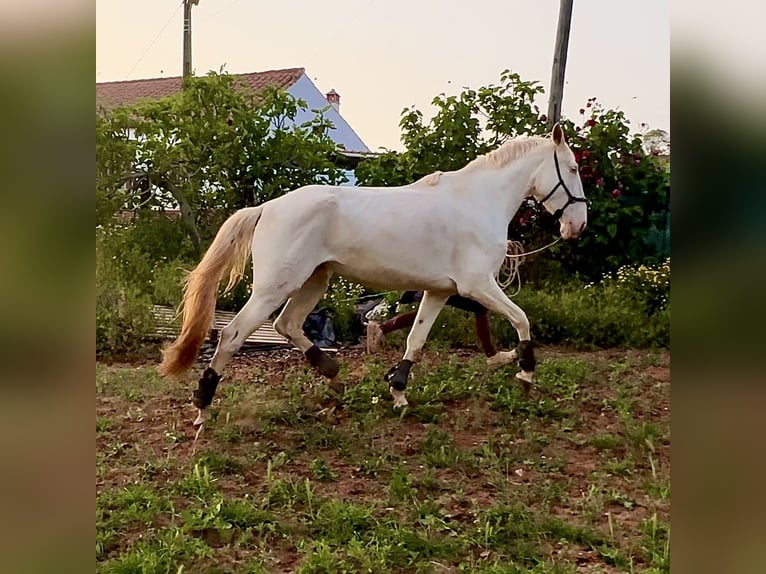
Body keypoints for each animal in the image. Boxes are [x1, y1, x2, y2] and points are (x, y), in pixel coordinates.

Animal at [160, 124, 588, 426]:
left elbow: (416, 339)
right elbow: (521, 319)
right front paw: (525, 372)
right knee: (233, 334)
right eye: (572, 167)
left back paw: (334, 376)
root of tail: (267, 207)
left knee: (287, 324)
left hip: (315, 280)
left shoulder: (439, 291)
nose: (577, 225)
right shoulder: (477, 285)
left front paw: (398, 391)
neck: (478, 202)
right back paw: (202, 407)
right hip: (275, 286)